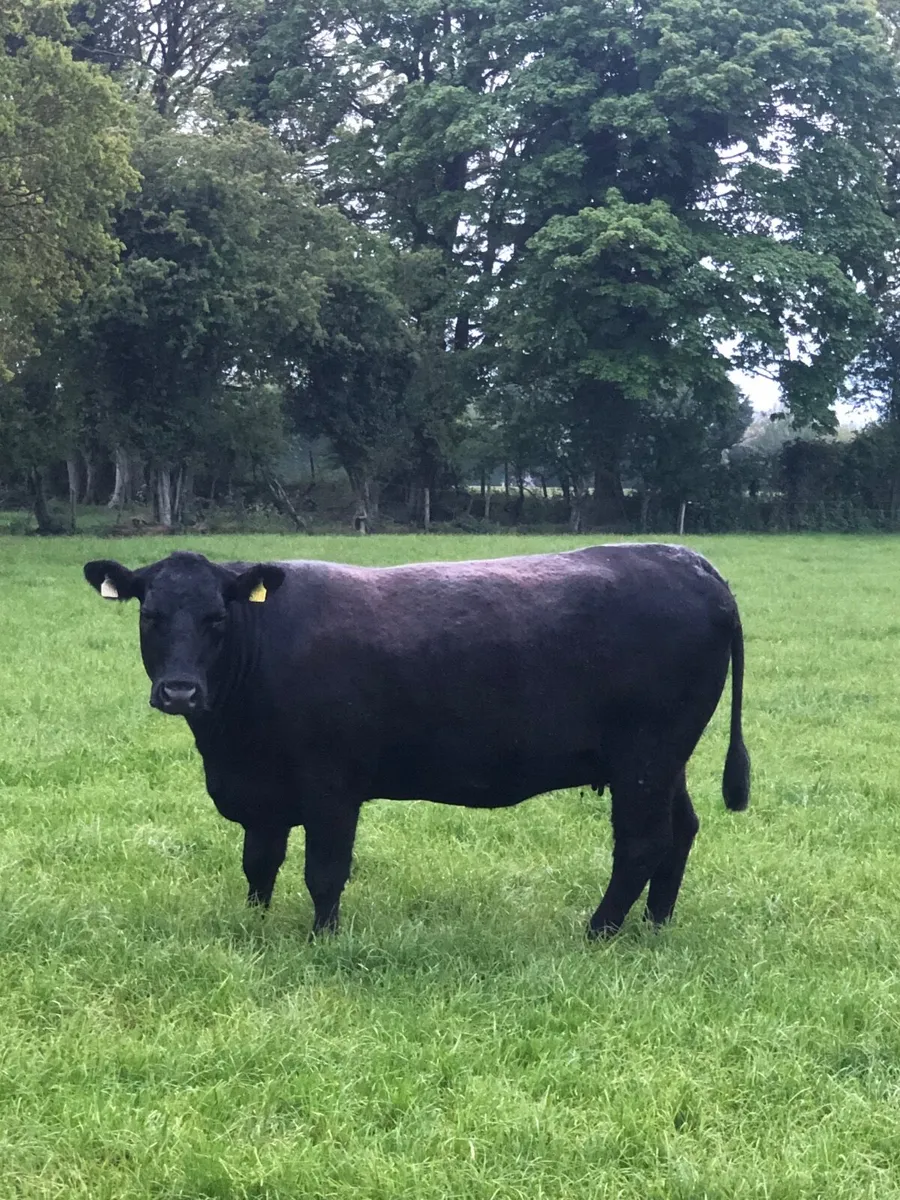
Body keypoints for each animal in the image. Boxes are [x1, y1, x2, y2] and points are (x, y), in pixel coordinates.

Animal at [83, 543, 750, 939]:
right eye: (150, 616)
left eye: (216, 619)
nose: (179, 691)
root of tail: (689, 562)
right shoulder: (263, 789)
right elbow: (259, 863)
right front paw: (255, 927)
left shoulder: (331, 785)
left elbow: (325, 870)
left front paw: (322, 940)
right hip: (664, 760)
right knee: (680, 832)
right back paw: (656, 926)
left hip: (645, 757)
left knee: (641, 843)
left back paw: (598, 932)